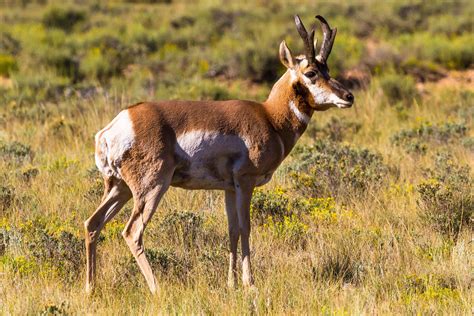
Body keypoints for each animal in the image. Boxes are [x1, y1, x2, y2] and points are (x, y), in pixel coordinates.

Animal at [83, 13, 354, 292]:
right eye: (311, 72)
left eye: (328, 70)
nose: (348, 96)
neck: (269, 117)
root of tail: (116, 125)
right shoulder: (245, 183)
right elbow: (246, 228)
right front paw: (249, 283)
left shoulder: (229, 189)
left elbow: (232, 230)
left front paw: (231, 283)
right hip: (152, 188)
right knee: (132, 231)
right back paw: (156, 288)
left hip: (119, 188)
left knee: (93, 223)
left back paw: (90, 288)